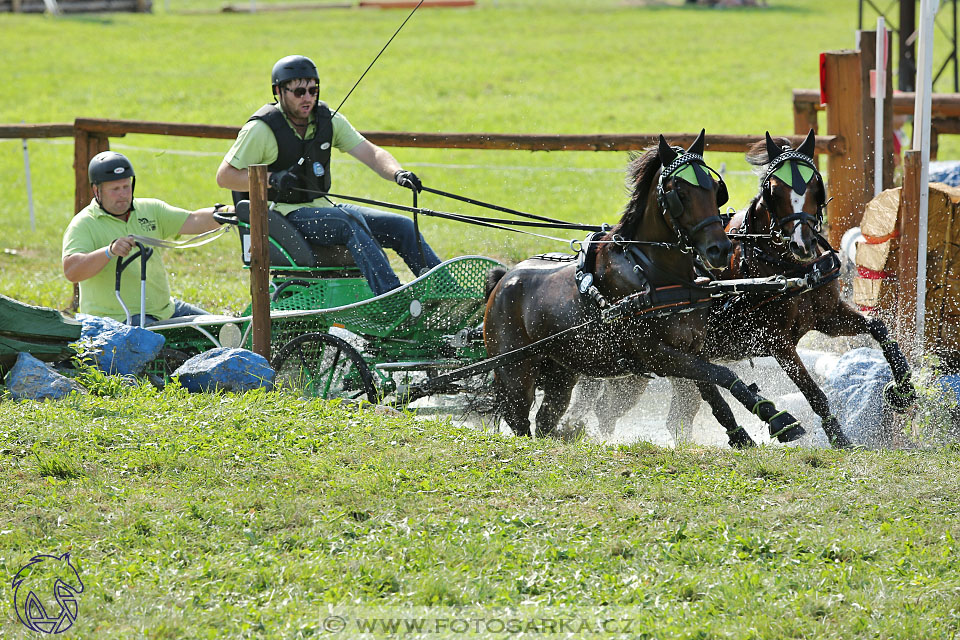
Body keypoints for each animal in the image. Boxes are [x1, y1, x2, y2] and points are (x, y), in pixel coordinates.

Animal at [484, 129, 808, 440]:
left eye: (716, 190)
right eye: (679, 191)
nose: (720, 249)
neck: (653, 273)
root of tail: (502, 282)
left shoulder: (693, 348)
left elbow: (713, 391)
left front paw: (755, 429)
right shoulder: (657, 356)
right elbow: (723, 376)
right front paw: (779, 420)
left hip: (560, 372)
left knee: (545, 419)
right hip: (515, 374)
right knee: (520, 421)